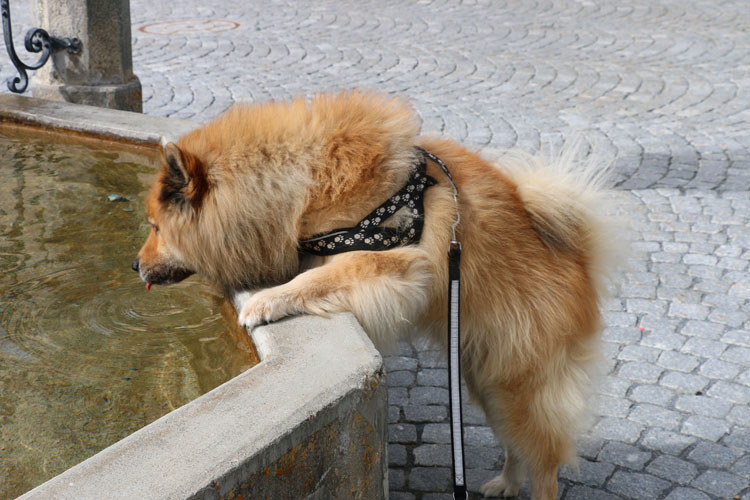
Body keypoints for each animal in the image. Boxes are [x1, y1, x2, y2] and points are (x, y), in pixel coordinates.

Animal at [134, 91, 616, 500]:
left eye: (156, 227)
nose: (135, 266)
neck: (302, 183)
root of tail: (580, 257)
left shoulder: (394, 262)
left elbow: (317, 279)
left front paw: (263, 301)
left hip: (520, 385)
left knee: (545, 462)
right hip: (486, 380)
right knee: (517, 446)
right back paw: (505, 483)